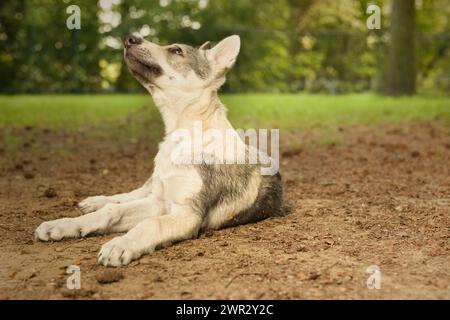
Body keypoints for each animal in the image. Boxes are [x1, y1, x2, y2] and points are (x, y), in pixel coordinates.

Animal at [34, 35, 282, 266]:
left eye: (176, 50)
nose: (130, 38)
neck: (180, 134)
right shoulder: (159, 201)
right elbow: (112, 212)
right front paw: (65, 224)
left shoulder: (185, 213)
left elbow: (150, 223)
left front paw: (121, 244)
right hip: (152, 188)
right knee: (125, 196)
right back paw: (93, 202)